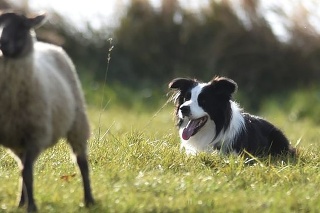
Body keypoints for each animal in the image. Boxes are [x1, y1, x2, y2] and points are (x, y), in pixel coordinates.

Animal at [0, 12, 94, 213]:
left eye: (22, 26)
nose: (2, 42)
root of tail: (49, 45)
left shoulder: (35, 135)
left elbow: (28, 173)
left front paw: (32, 207)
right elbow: (24, 172)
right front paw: (25, 203)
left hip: (77, 122)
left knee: (81, 161)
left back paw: (89, 200)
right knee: (21, 166)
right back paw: (21, 202)